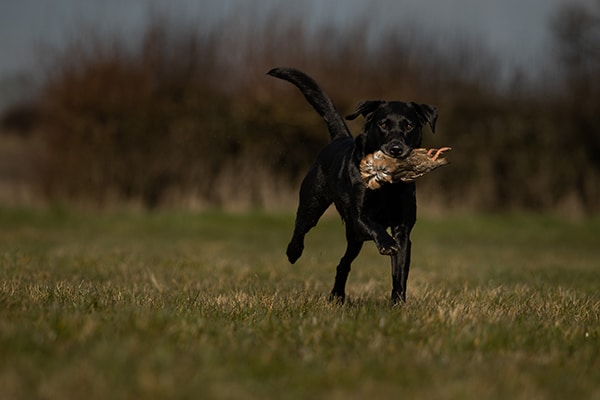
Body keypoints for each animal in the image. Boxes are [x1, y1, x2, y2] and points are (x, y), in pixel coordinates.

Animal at [268, 67, 436, 304]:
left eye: (409, 125)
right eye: (383, 124)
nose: (396, 149)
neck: (388, 186)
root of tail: (340, 138)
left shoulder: (403, 229)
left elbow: (400, 271)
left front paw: (398, 303)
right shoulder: (358, 217)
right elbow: (373, 224)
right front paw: (386, 244)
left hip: (354, 239)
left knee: (343, 263)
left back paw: (337, 295)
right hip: (313, 205)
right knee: (301, 228)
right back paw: (293, 252)